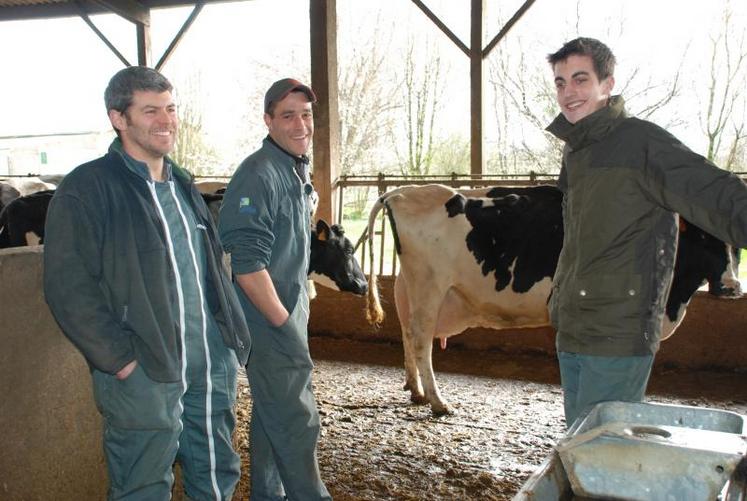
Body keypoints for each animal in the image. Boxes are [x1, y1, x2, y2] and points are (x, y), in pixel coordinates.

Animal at [364, 185, 744, 414]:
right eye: (705, 239)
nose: (732, 286)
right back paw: (437, 401)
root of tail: (406, 191)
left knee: (407, 333)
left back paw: (415, 389)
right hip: (430, 286)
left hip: (410, 287)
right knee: (421, 340)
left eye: (735, 244)